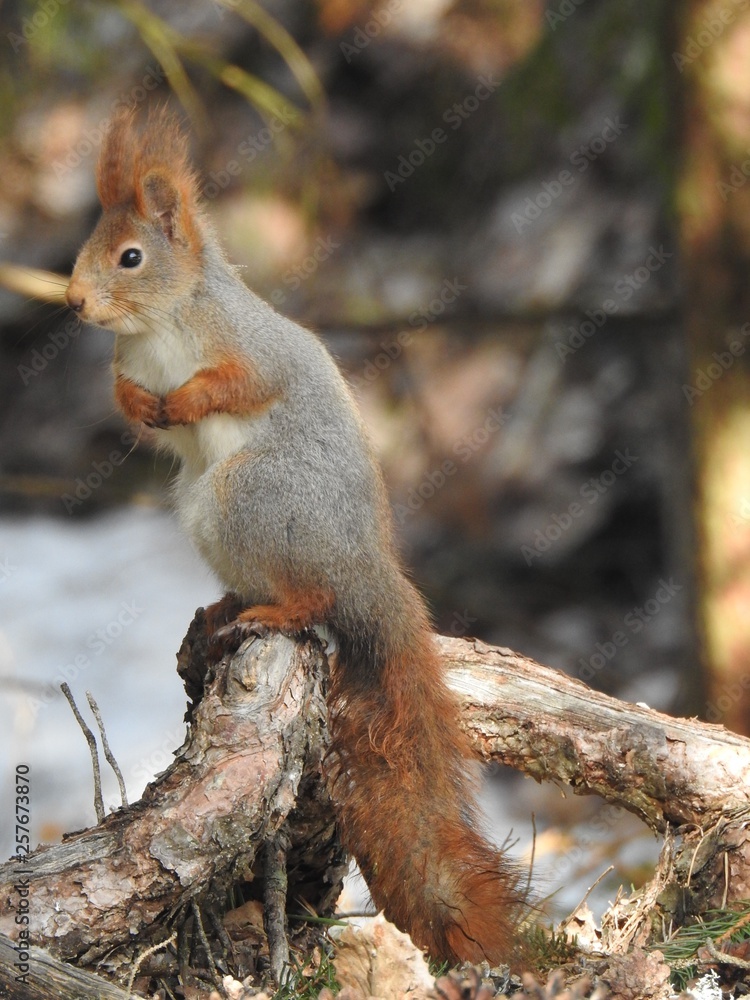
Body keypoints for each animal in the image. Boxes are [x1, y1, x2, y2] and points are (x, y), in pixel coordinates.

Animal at [65, 107, 526, 966]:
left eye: (131, 257)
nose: (74, 301)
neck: (162, 323)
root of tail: (362, 564)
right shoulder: (125, 362)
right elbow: (120, 395)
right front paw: (146, 407)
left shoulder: (252, 350)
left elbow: (242, 383)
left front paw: (185, 402)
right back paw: (224, 610)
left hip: (247, 496)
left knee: (312, 599)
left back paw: (270, 613)